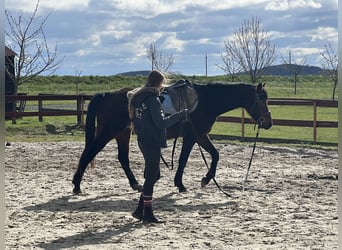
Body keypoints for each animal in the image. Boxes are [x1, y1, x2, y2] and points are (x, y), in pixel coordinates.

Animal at [72, 81, 272, 193]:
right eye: (261, 99)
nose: (268, 122)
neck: (207, 101)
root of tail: (107, 95)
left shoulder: (201, 135)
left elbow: (216, 155)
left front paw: (206, 179)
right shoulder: (191, 136)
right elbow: (183, 159)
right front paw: (180, 184)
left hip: (122, 133)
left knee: (122, 158)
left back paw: (135, 184)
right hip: (107, 132)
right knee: (89, 153)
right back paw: (77, 186)